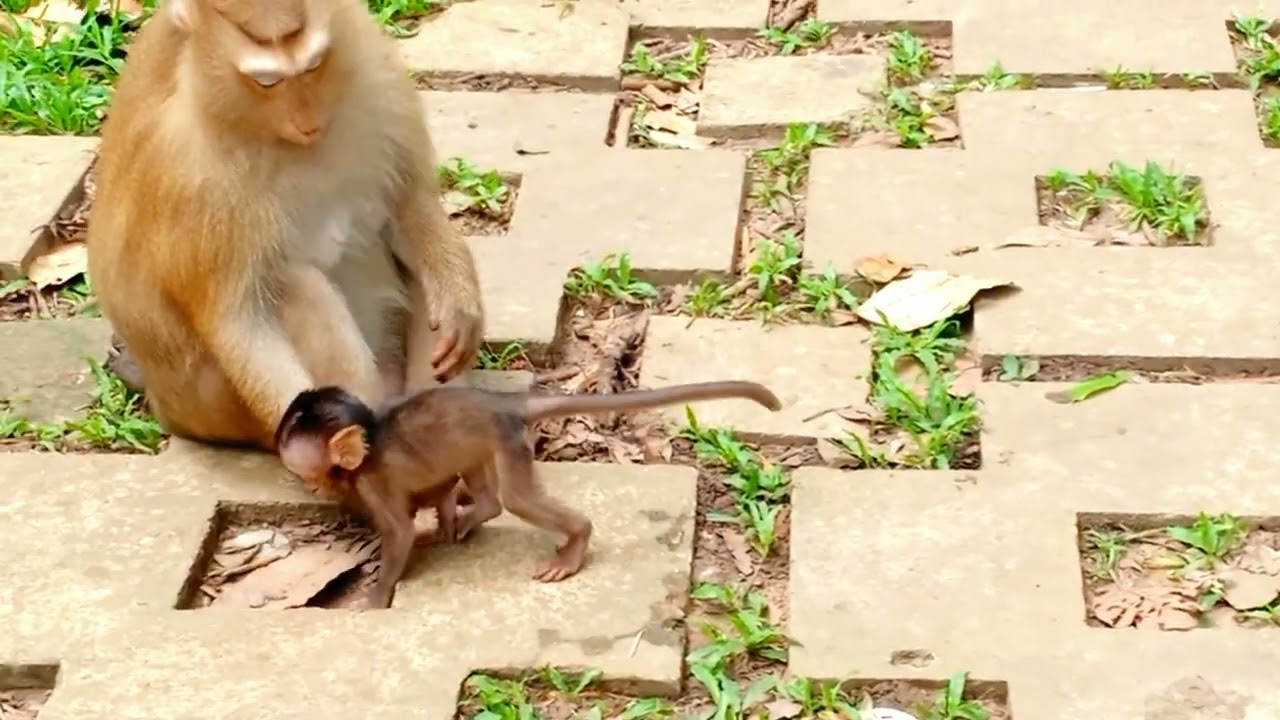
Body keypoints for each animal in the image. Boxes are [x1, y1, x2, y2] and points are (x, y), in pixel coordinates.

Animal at [84, 0, 485, 453]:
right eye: (267, 80)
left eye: (313, 65)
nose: (307, 121)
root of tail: (166, 406)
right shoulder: (194, 179)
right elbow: (237, 322)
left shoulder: (379, 79)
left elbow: (409, 205)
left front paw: (458, 303)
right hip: (223, 409)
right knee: (293, 283)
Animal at [274, 381, 784, 609]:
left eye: (300, 463)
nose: (306, 483)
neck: (370, 441)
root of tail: (504, 401)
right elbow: (436, 488)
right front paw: (444, 523)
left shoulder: (373, 481)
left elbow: (398, 531)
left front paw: (376, 598)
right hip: (489, 438)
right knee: (488, 488)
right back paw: (474, 510)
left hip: (506, 441)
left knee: (517, 500)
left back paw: (575, 540)